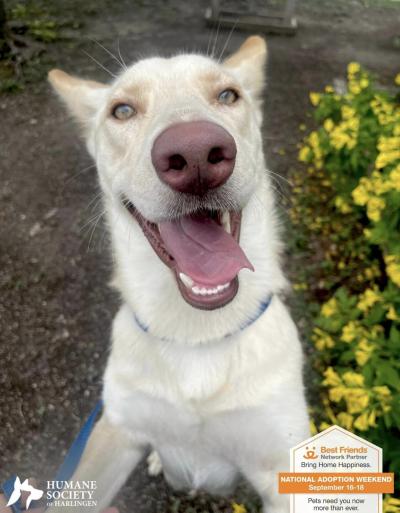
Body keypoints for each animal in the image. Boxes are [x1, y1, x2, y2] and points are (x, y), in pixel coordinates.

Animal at [47, 37, 310, 512]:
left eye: (228, 95)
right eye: (122, 110)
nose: (195, 154)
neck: (197, 337)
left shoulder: (284, 464)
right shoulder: (115, 430)